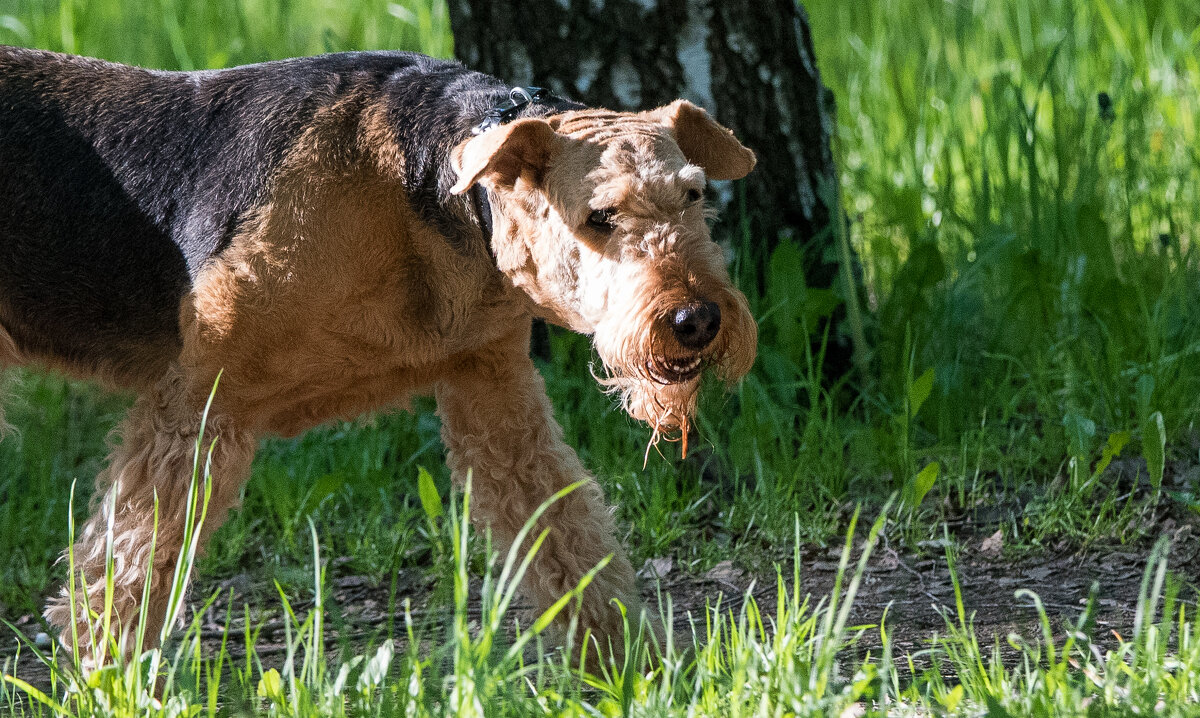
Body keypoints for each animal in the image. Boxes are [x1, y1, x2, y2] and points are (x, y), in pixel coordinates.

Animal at [0, 46, 753, 667]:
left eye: (694, 194)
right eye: (601, 216)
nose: (696, 320)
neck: (426, 192)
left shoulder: (495, 394)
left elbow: (573, 539)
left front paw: (631, 668)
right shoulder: (199, 401)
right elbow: (129, 565)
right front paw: (105, 674)